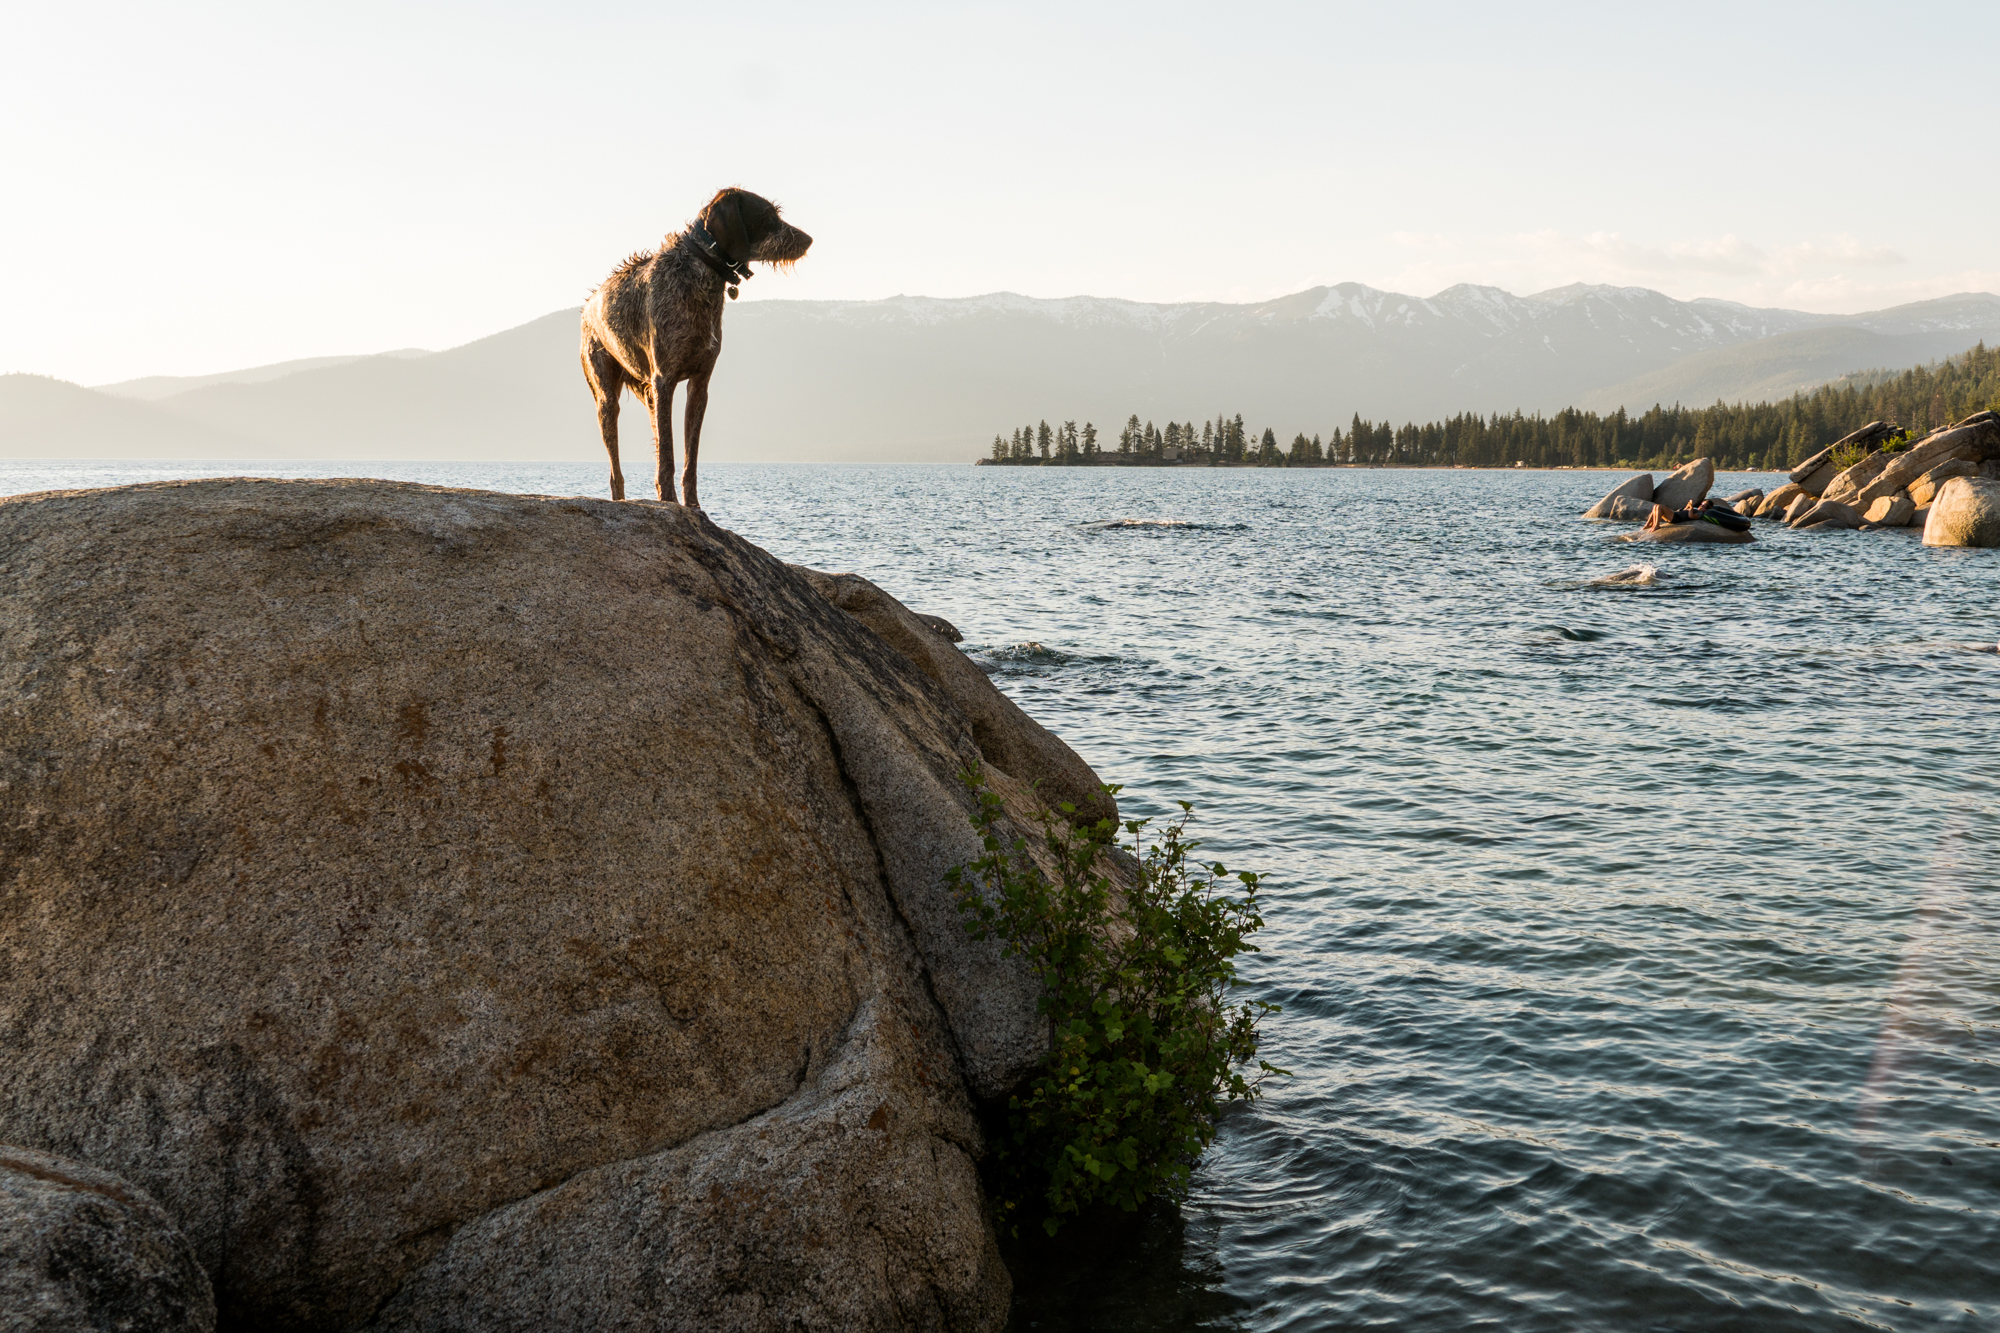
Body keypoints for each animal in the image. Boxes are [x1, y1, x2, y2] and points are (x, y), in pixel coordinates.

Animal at [584, 192, 816, 508]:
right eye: (768, 215)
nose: (808, 240)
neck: (703, 273)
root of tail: (589, 302)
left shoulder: (699, 385)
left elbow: (688, 458)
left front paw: (693, 505)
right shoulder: (664, 380)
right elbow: (668, 457)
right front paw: (670, 501)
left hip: (650, 397)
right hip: (607, 398)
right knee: (615, 469)